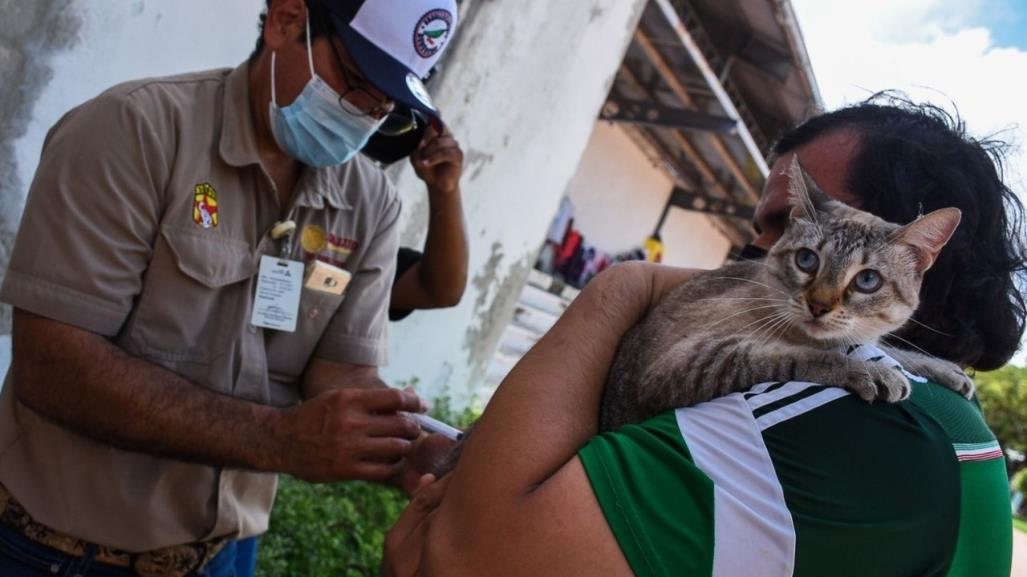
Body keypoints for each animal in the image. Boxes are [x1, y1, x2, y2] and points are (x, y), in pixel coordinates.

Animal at [599, 157, 973, 431]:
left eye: (867, 280)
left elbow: (890, 348)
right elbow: (796, 356)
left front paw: (946, 370)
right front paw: (875, 373)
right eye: (807, 260)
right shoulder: (683, 364)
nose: (818, 306)